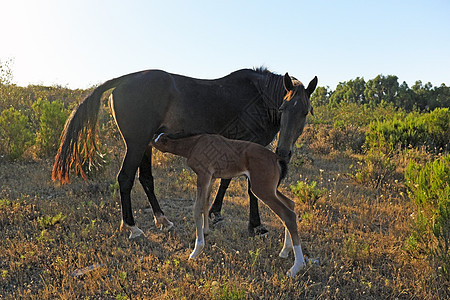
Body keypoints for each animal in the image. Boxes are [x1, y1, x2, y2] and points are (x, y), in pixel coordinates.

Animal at [52, 67, 316, 237]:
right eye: (282, 108)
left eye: (305, 112)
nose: (283, 151)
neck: (258, 97)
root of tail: (125, 80)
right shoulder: (252, 146)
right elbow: (249, 189)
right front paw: (256, 226)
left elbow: (226, 181)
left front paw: (215, 213)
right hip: (136, 144)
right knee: (125, 178)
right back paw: (131, 227)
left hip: (145, 145)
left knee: (146, 179)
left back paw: (162, 220)